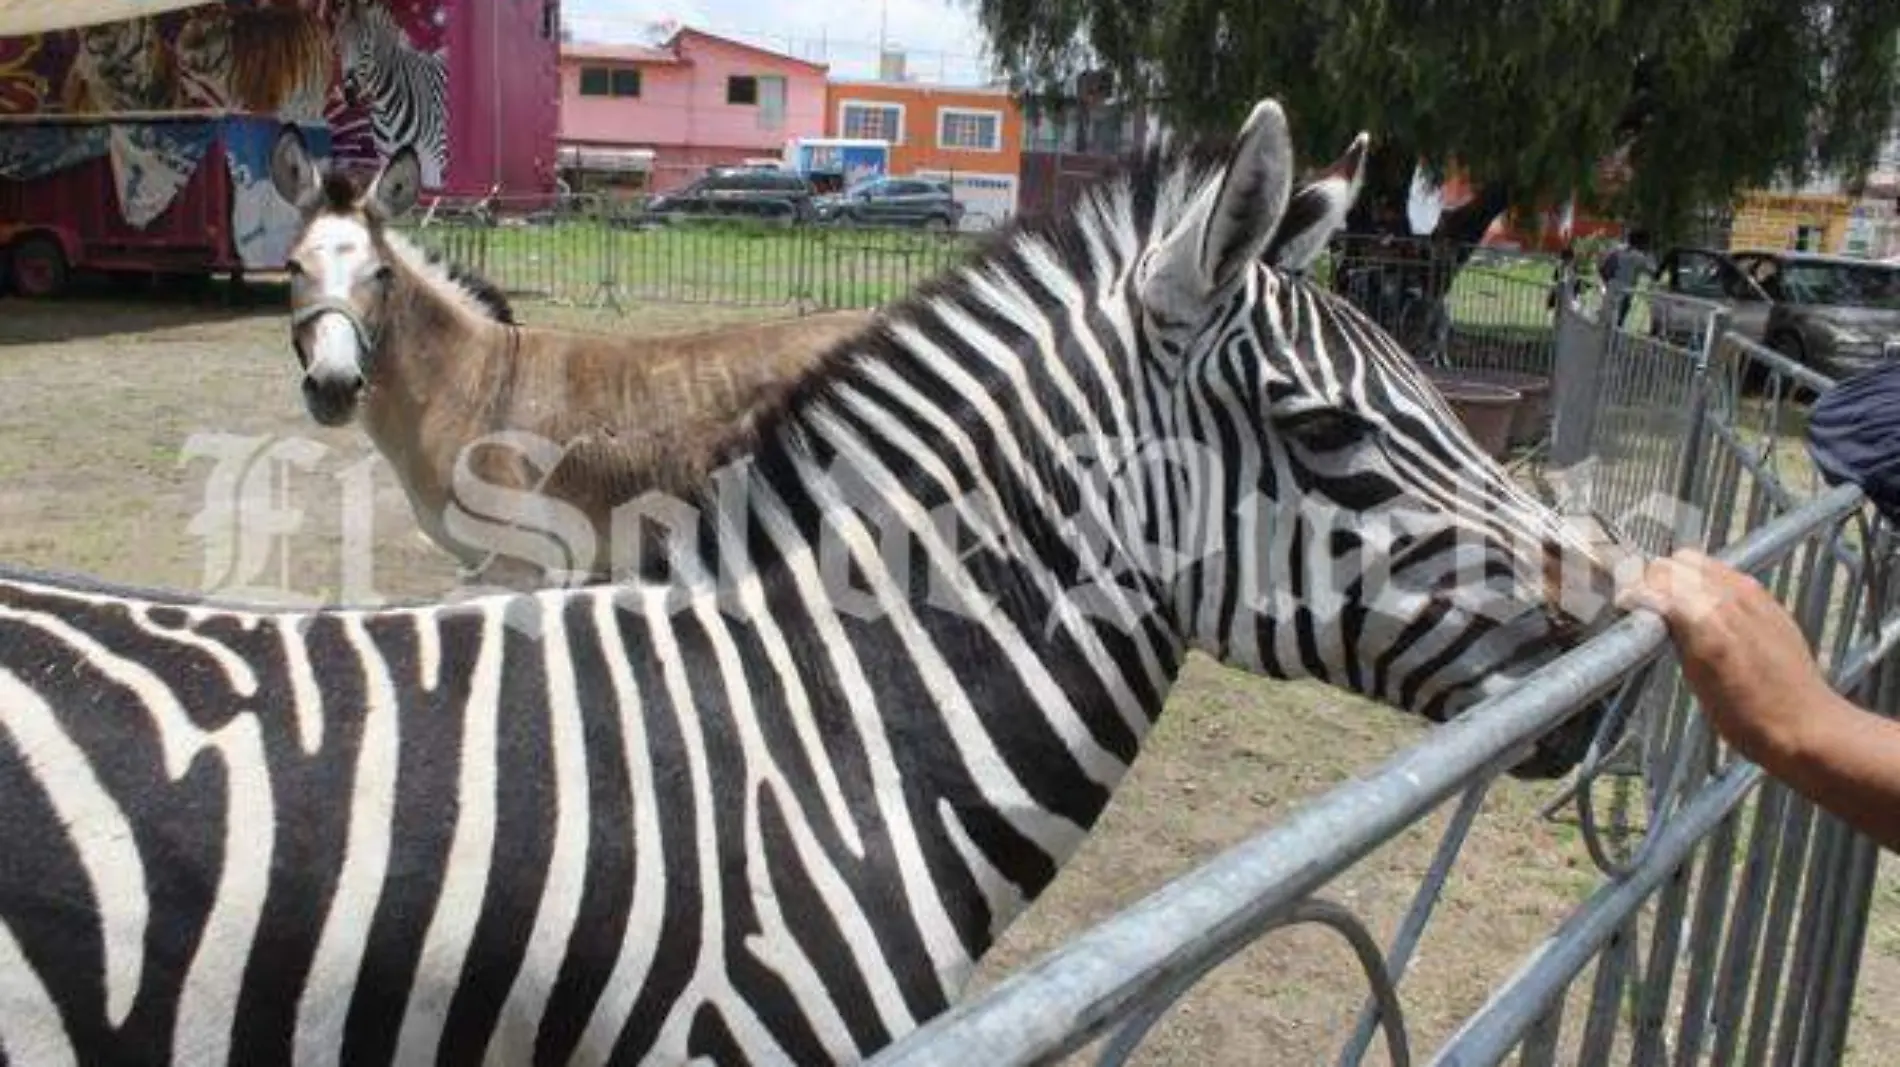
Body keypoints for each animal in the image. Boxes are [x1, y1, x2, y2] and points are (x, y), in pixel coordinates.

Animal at [336, 1, 446, 185]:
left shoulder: (431, 162)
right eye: (340, 46)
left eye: (366, 47)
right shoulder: (386, 159)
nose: (349, 94)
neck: (385, 109)